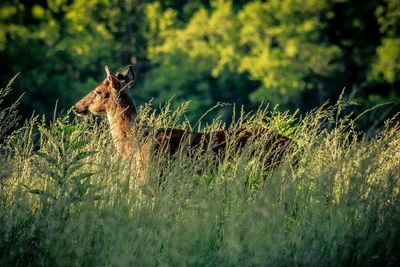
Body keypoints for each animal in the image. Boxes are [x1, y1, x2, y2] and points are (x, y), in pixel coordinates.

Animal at [72, 65, 290, 182]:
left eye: (98, 91)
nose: (75, 106)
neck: (134, 142)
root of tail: (293, 146)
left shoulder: (153, 177)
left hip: (267, 169)